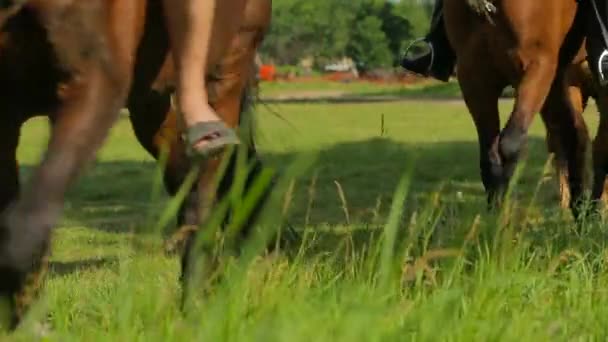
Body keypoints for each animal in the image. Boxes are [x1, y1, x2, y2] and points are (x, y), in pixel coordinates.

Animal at [0, 0, 270, 328]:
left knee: (203, 194)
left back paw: (197, 302)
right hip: (150, 104)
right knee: (185, 175)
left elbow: (28, 218)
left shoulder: (95, 87)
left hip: (228, 69)